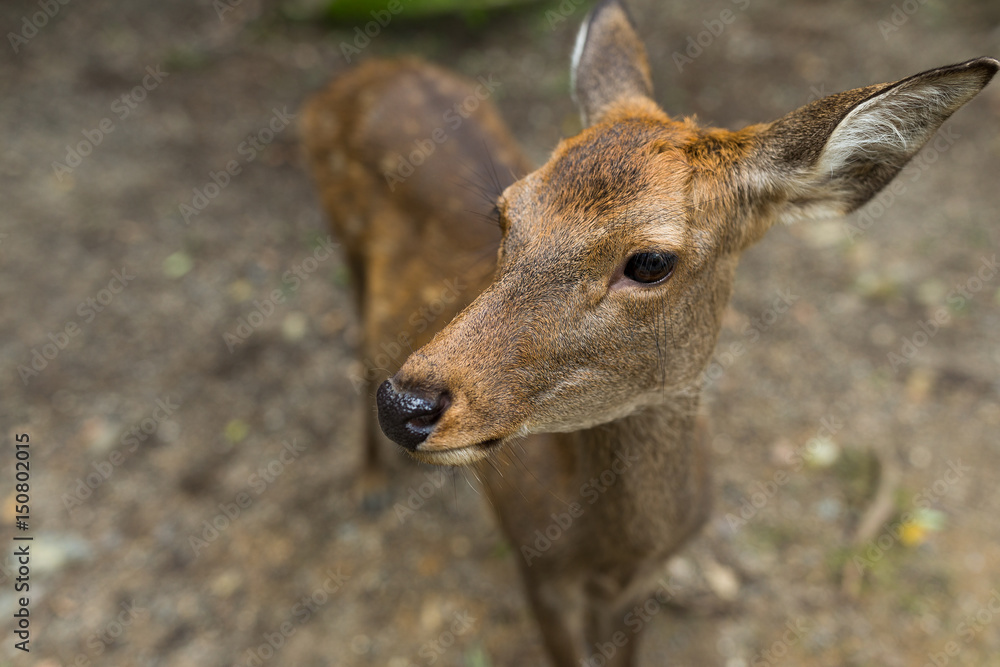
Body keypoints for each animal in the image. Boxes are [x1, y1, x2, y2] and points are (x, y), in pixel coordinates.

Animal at [301, 0, 998, 664]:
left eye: (651, 262)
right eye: (506, 214)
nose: (407, 406)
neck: (613, 551)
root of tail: (361, 72)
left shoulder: (640, 585)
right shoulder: (537, 571)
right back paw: (368, 484)